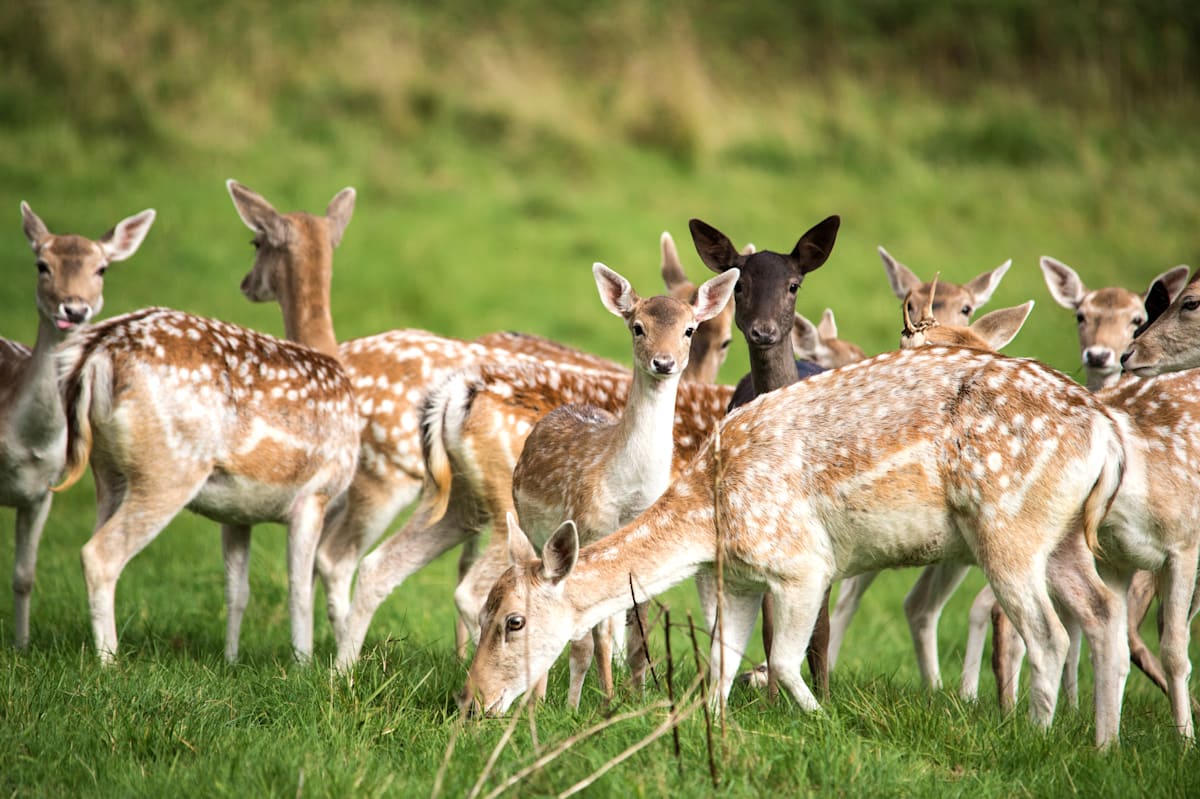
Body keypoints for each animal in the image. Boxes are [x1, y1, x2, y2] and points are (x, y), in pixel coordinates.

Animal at [2, 202, 155, 650]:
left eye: (101, 268)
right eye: (42, 264)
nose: (74, 308)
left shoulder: (41, 492)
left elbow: (24, 575)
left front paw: (21, 646)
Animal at [55, 186, 363, 664]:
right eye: (255, 240)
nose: (246, 283)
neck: (330, 357)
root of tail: (98, 354)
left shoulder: (236, 512)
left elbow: (237, 589)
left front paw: (231, 659)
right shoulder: (316, 493)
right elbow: (298, 589)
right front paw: (303, 664)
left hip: (107, 469)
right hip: (169, 467)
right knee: (99, 555)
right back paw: (109, 662)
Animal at [460, 342, 1136, 747]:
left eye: (514, 621)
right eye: (485, 614)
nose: (472, 703)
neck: (710, 516)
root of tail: (1106, 432)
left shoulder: (803, 564)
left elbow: (783, 660)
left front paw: (824, 722)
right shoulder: (736, 578)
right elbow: (721, 661)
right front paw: (715, 728)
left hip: (1009, 526)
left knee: (1049, 634)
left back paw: (1037, 736)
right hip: (1063, 535)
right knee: (1105, 611)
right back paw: (1102, 743)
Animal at [509, 263, 737, 707]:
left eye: (689, 329)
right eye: (638, 327)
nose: (663, 362)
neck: (630, 495)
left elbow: (636, 636)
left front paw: (629, 697)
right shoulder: (587, 530)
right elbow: (587, 637)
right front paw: (579, 704)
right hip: (530, 527)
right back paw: (543, 696)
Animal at [688, 215, 842, 701]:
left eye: (794, 285)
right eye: (740, 285)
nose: (764, 330)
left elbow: (821, 625)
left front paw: (823, 694)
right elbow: (772, 623)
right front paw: (774, 699)